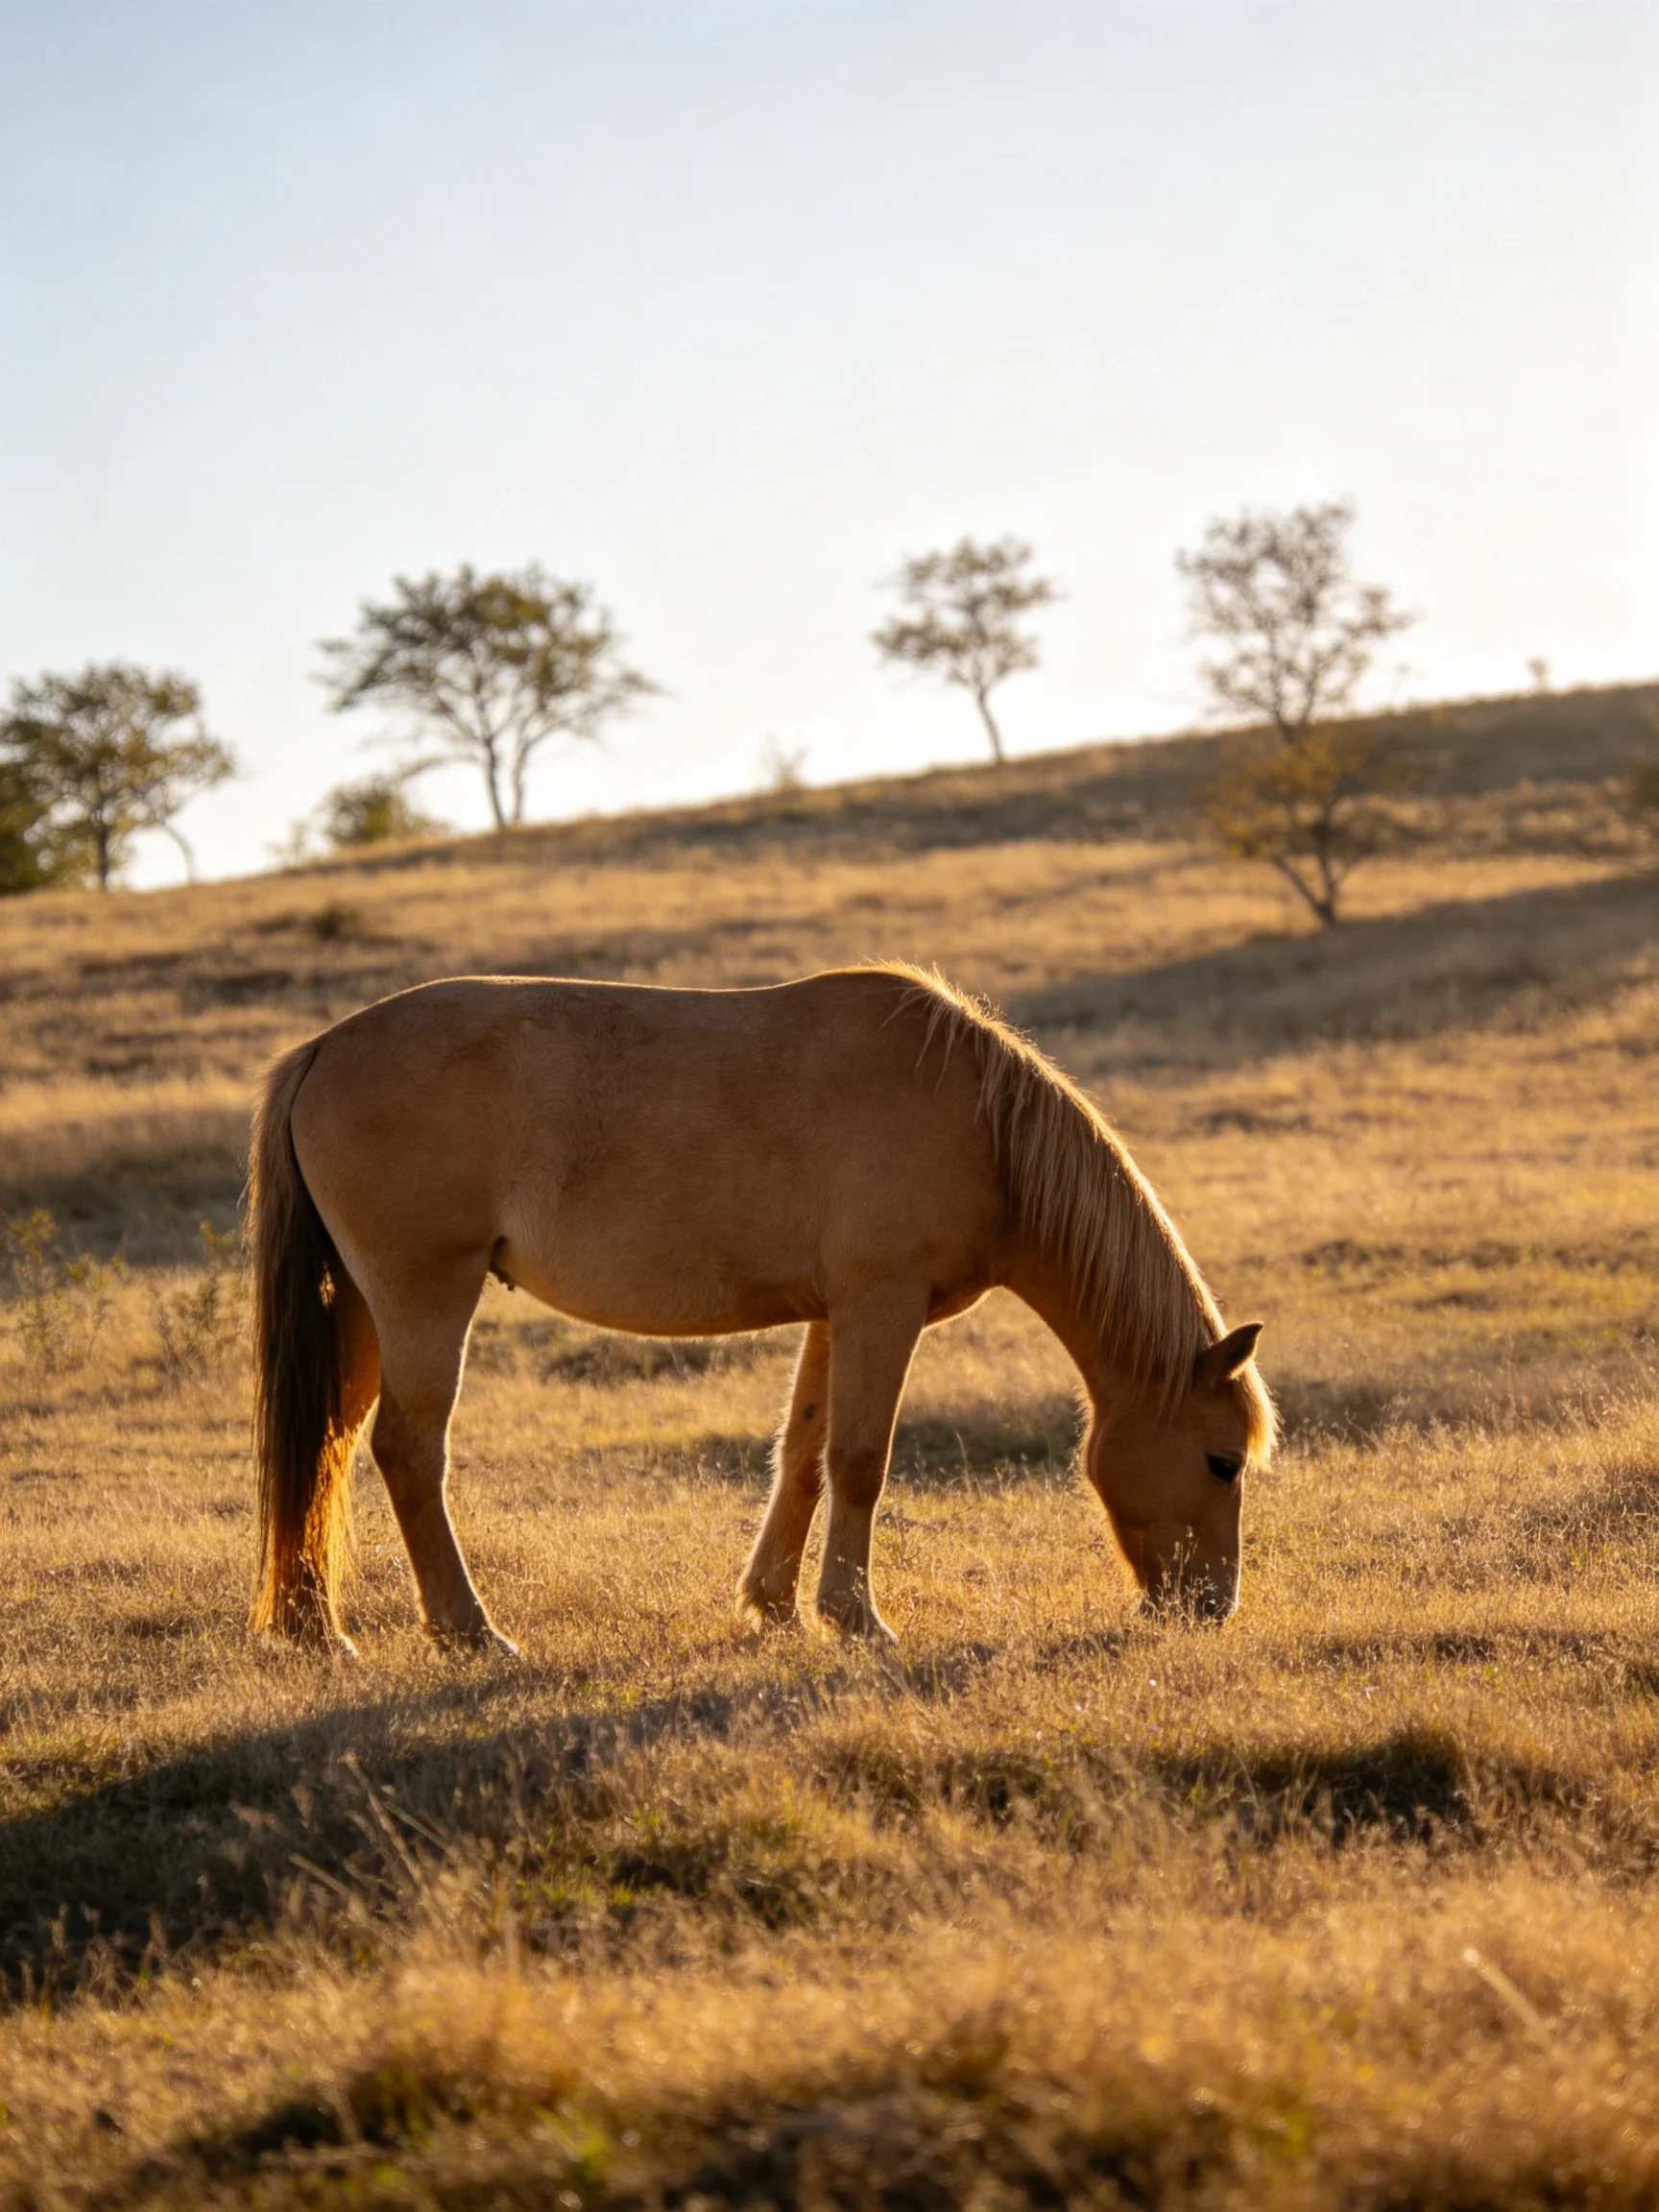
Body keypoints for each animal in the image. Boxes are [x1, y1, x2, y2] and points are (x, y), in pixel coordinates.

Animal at [248, 962, 1275, 1656]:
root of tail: (322, 1050)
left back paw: (314, 1629)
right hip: (424, 1296)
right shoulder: (881, 1305)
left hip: (361, 1312)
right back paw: (469, 1631)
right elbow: (861, 1461)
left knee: (326, 1447)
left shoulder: (833, 1315)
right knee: (407, 1452)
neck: (980, 1124)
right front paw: (857, 1620)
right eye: (1220, 1461)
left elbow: (806, 1459)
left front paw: (777, 1607)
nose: (1211, 1609)